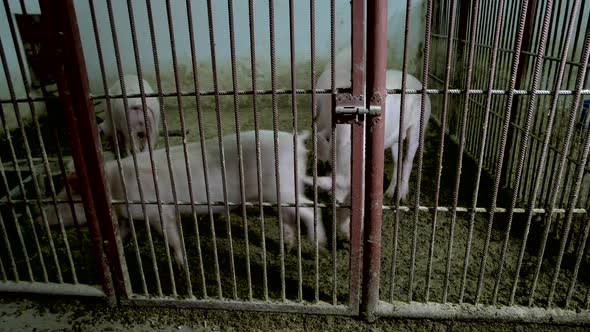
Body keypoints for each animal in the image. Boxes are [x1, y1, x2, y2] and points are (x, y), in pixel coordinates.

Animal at [41, 130, 328, 270]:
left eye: (65, 198)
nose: (38, 217)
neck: (113, 187)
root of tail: (296, 139)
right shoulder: (127, 216)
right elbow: (121, 235)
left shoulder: (159, 211)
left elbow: (171, 238)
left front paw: (181, 268)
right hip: (280, 192)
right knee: (290, 216)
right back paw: (287, 248)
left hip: (281, 188)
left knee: (311, 208)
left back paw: (319, 245)